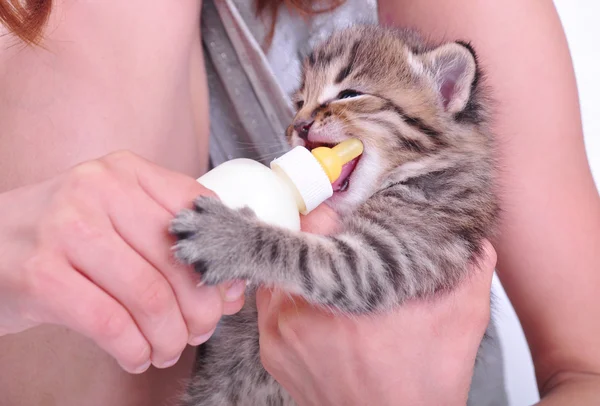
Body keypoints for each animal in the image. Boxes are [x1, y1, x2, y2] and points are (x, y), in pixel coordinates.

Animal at [171, 24, 500, 406]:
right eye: (299, 104)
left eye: (350, 94)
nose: (298, 125)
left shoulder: (392, 252)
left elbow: (302, 254)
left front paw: (226, 236)